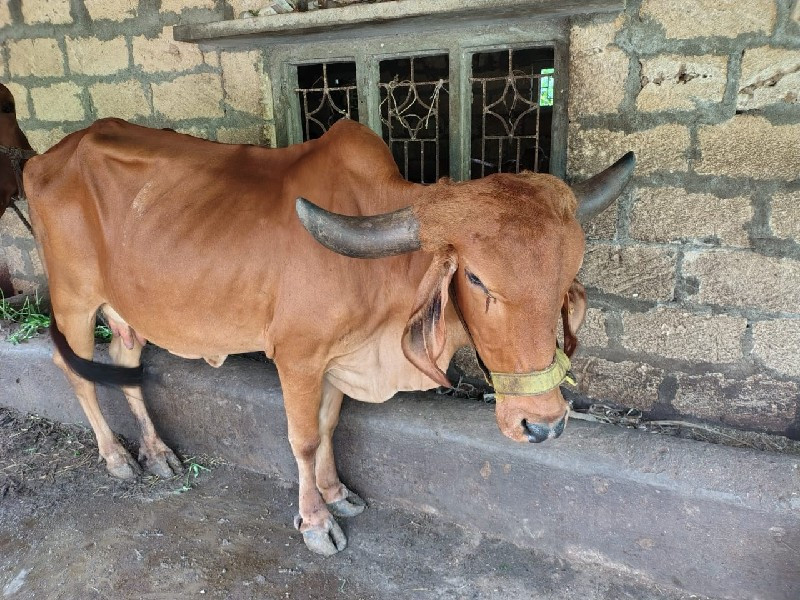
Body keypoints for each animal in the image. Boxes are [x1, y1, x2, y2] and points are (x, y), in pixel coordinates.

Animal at [25, 119, 636, 556]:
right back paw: (116, 458)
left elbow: (328, 425)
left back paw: (156, 453)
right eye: (478, 278)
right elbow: (302, 438)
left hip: (127, 311)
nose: (544, 424)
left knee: (123, 361)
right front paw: (315, 521)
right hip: (74, 300)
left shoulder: (340, 358)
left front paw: (337, 494)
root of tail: (44, 158)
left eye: (568, 274)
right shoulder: (297, 359)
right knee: (73, 370)